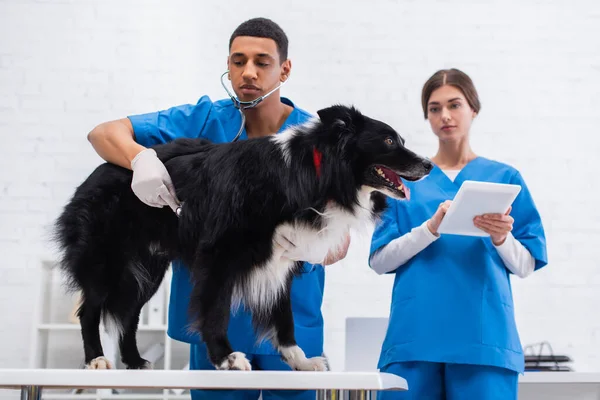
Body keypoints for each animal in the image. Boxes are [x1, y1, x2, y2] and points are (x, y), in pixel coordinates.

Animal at [52, 104, 432, 372]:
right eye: (389, 141)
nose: (429, 165)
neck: (314, 171)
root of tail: (96, 173)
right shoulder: (220, 252)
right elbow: (216, 307)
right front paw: (225, 357)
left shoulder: (284, 258)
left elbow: (284, 313)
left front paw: (300, 360)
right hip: (105, 257)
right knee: (91, 309)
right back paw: (96, 359)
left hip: (149, 267)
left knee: (129, 312)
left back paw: (134, 361)